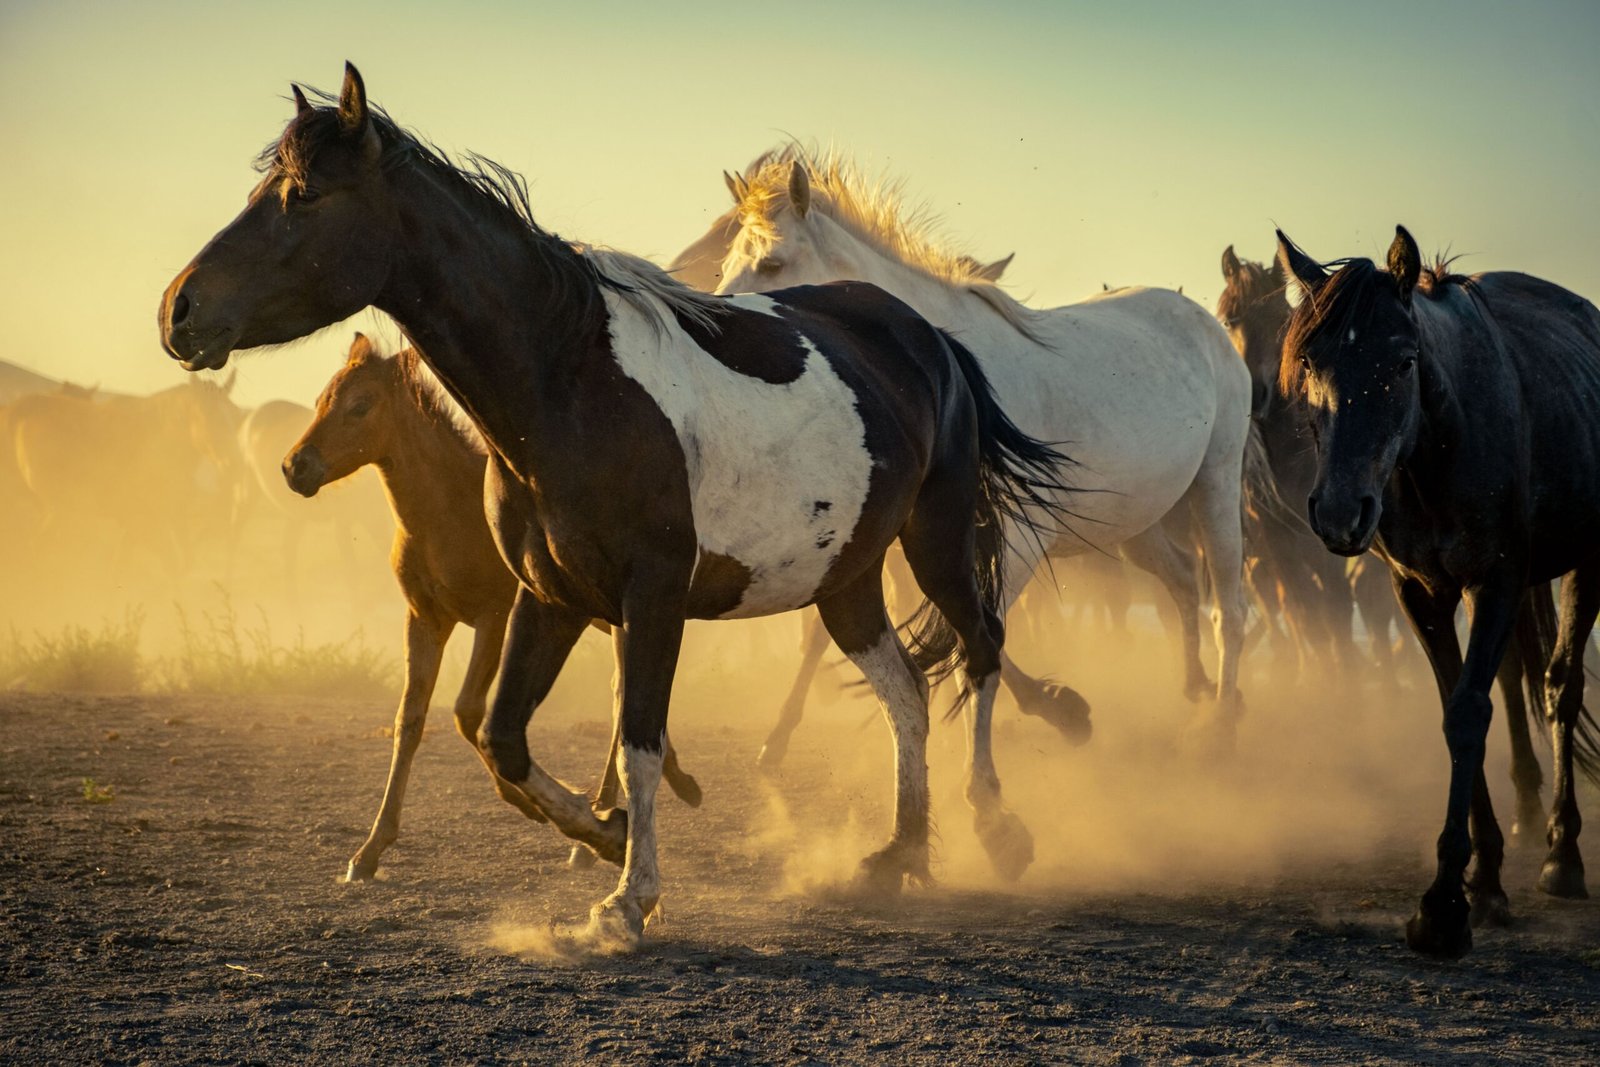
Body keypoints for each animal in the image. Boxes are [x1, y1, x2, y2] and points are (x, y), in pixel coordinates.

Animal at [284, 332, 700, 882]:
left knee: (620, 703)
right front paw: (369, 850)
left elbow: (466, 710)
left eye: (361, 405)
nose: (295, 467)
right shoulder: (424, 620)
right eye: (320, 401)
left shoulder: (493, 619)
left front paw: (528, 802)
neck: (446, 513)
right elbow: (409, 720)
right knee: (622, 699)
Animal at [703, 146, 1251, 858]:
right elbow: (949, 640)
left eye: (770, 264)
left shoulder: (1007, 541)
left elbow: (976, 644)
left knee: (1229, 607)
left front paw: (992, 800)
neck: (947, 365)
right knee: (1185, 582)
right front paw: (1059, 711)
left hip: (1218, 483)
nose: (713, 333)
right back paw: (1194, 691)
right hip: (1136, 523)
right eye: (725, 264)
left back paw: (1222, 725)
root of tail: (1201, 319)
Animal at [1221, 245, 1561, 842]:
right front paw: (1322, 691)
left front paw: (1350, 697)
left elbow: (1335, 618)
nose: (1256, 394)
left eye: (1271, 319)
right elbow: (1309, 621)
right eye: (1229, 321)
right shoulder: (1288, 555)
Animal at [1275, 224, 1600, 958]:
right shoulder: (1421, 594)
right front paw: (1484, 877)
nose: (1339, 511)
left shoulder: (1497, 578)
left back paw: (1562, 853)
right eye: (1309, 361)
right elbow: (1457, 703)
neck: (1436, 450)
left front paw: (1445, 903)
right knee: (1518, 680)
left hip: (1587, 564)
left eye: (1403, 362)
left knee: (1560, 687)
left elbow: (1467, 715)